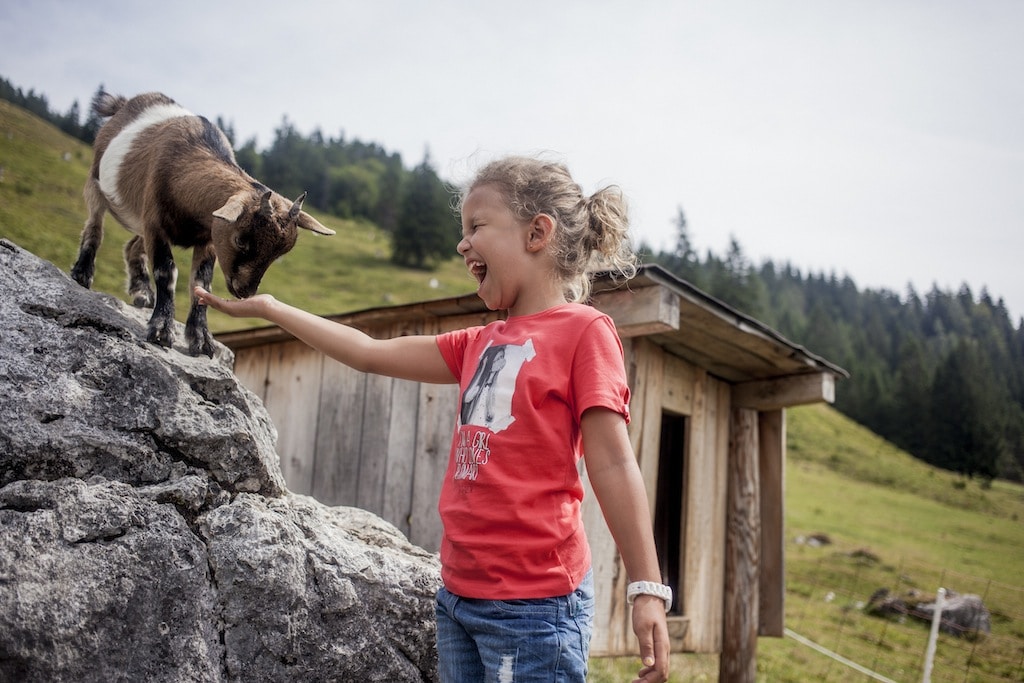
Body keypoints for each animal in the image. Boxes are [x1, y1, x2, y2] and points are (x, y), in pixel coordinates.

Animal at [70, 91, 333, 358]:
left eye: (279, 254)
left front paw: (201, 339)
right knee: (95, 226)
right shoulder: (155, 224)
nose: (245, 292)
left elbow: (200, 281)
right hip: (96, 181)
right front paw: (161, 330)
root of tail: (123, 104)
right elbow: (166, 270)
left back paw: (141, 292)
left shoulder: (208, 237)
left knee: (132, 246)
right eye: (240, 240)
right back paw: (82, 274)